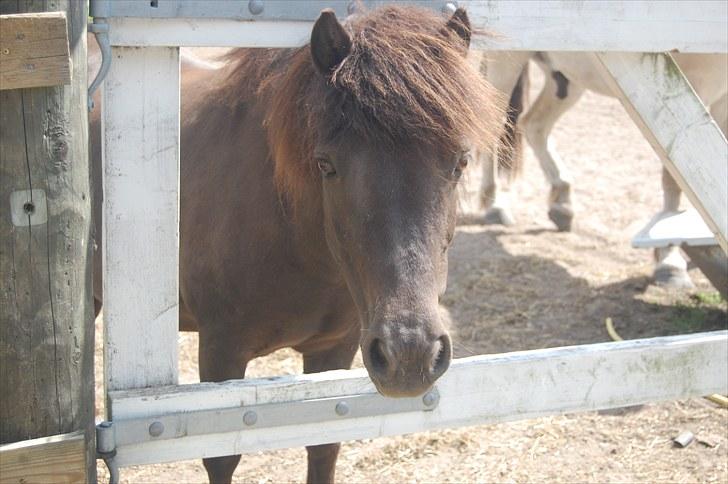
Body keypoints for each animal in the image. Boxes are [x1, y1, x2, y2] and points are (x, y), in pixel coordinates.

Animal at [91, 5, 504, 482]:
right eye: (326, 165)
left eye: (460, 163)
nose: (411, 353)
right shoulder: (220, 354)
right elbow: (222, 456)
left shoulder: (336, 349)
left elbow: (324, 445)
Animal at [478, 51, 728, 290]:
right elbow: (674, 177)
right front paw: (670, 263)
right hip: (506, 61)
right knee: (491, 123)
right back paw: (494, 205)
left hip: (566, 77)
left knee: (535, 124)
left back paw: (562, 202)